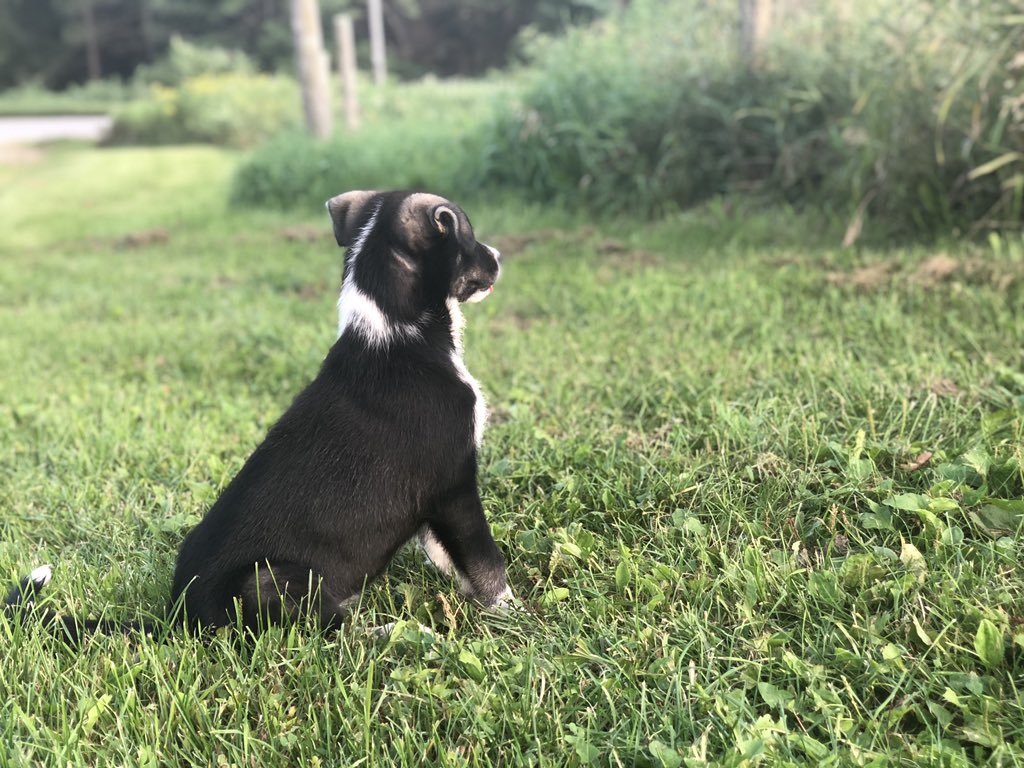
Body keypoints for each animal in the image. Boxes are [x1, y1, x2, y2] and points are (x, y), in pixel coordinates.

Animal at [1, 191, 512, 638]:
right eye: (466, 237)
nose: (500, 257)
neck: (398, 331)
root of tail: (181, 619)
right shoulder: (454, 486)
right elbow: (485, 562)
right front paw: (513, 618)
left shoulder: (435, 499)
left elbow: (448, 555)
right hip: (273, 579)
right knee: (322, 630)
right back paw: (390, 631)